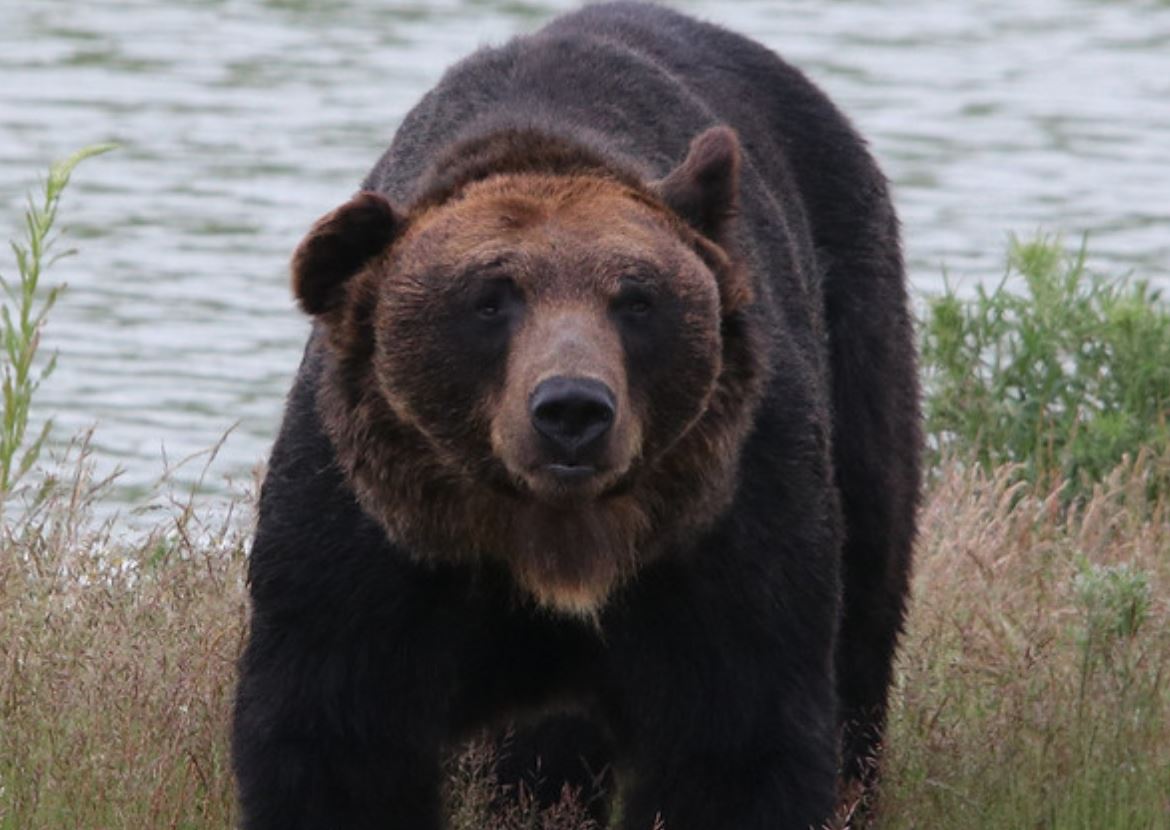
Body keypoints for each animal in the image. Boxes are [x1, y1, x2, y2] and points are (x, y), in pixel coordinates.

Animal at [231, 3, 920, 830]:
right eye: (489, 299)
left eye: (637, 300)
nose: (571, 410)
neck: (554, 541)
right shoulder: (369, 540)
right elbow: (333, 737)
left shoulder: (726, 533)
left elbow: (738, 738)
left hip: (858, 338)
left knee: (866, 603)